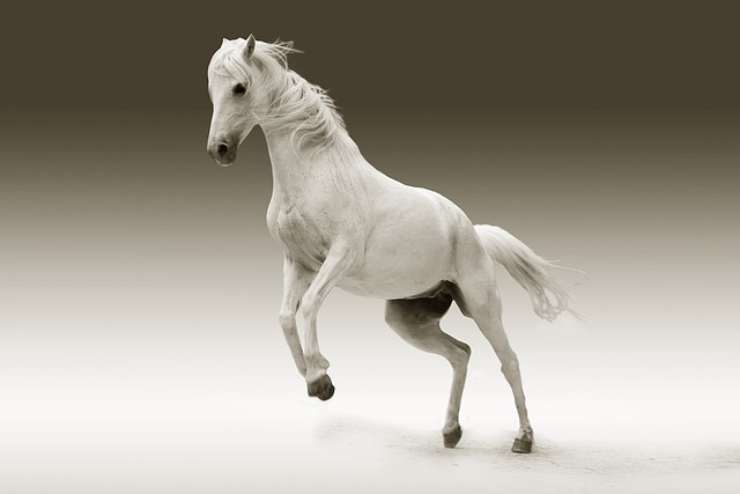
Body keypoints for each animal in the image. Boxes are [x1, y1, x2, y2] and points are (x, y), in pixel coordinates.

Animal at [205, 35, 571, 454]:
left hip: (482, 306)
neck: (316, 173)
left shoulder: (339, 257)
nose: (219, 150)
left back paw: (523, 439)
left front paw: (320, 378)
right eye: (212, 89)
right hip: (408, 319)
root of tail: (473, 233)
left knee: (508, 360)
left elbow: (309, 305)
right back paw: (451, 432)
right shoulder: (297, 262)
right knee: (460, 354)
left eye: (239, 87)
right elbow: (284, 316)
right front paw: (314, 377)